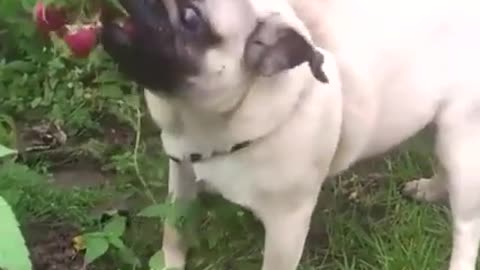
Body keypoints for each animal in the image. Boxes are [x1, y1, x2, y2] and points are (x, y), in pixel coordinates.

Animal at [102, 0, 480, 270]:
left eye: (191, 18)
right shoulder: (180, 172)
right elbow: (174, 232)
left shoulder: (287, 226)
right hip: (433, 124)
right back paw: (430, 189)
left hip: (463, 144)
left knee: (467, 227)